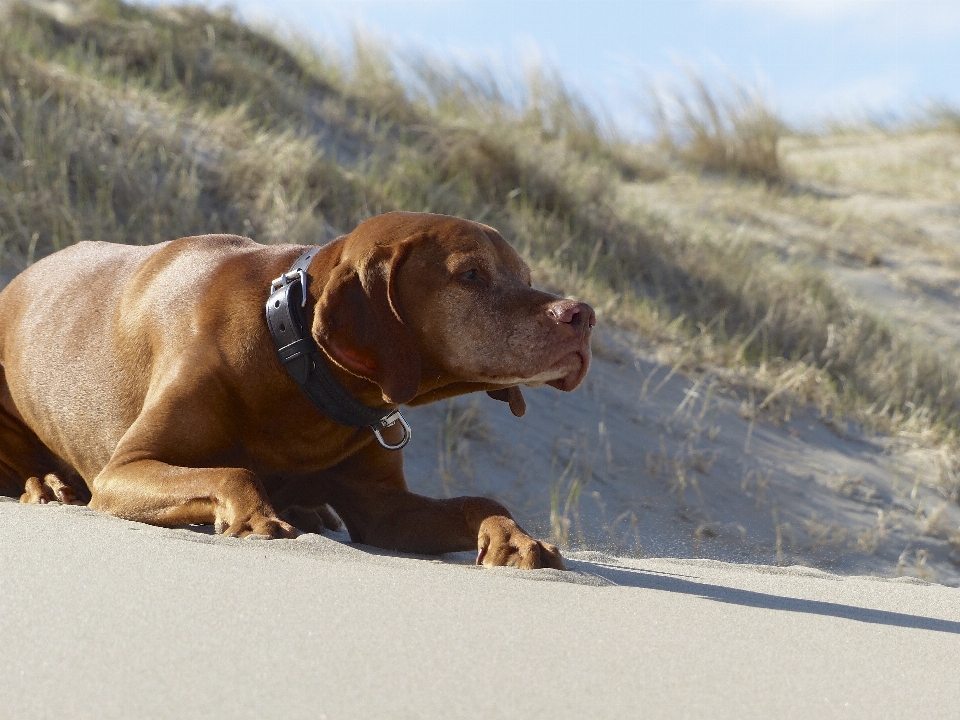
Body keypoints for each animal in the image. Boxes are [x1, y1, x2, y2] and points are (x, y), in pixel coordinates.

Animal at [0, 211, 592, 572]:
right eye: (470, 275)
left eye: (525, 277)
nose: (583, 315)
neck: (298, 361)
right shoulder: (124, 470)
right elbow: (235, 473)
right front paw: (255, 515)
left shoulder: (385, 510)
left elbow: (480, 500)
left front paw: (514, 537)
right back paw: (46, 484)